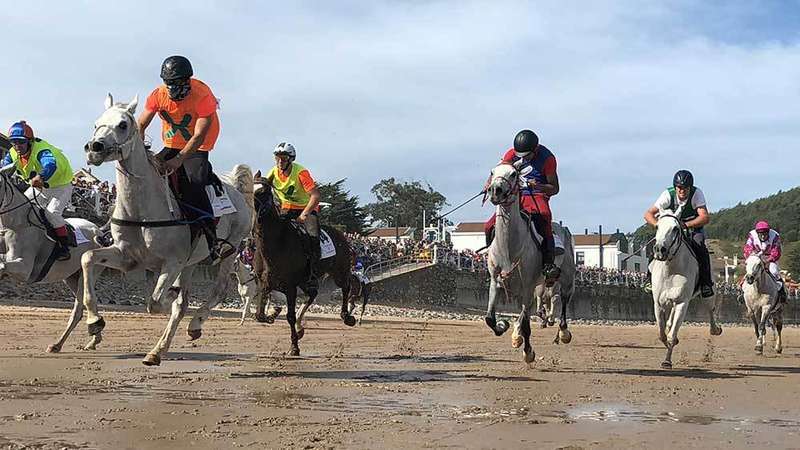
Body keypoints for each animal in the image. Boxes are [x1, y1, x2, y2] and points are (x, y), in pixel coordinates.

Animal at [0, 164, 105, 352]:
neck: (14, 224)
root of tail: (99, 232)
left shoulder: (25, 269)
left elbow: (3, 265)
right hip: (70, 277)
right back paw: (93, 339)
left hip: (87, 275)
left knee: (79, 310)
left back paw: (59, 344)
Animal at [82, 93, 255, 366]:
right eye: (96, 123)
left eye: (122, 124)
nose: (94, 148)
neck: (142, 210)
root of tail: (235, 187)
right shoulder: (127, 257)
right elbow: (87, 257)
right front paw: (94, 321)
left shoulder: (172, 263)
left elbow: (155, 303)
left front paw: (169, 295)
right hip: (190, 263)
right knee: (183, 304)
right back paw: (157, 351)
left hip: (230, 251)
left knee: (217, 290)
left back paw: (195, 324)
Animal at [252, 180, 355, 356]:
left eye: (263, 192)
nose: (256, 215)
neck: (277, 241)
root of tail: (341, 234)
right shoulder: (265, 283)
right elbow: (259, 315)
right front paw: (273, 312)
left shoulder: (290, 287)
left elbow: (290, 316)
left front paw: (294, 347)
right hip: (305, 280)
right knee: (312, 294)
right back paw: (300, 328)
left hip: (339, 272)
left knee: (346, 286)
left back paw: (347, 317)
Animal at [484, 163, 543, 364]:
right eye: (492, 172)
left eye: (513, 174)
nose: (495, 190)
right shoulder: (495, 280)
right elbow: (489, 318)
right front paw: (502, 324)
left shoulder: (527, 285)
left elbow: (525, 322)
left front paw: (529, 352)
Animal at [650, 213, 723, 368]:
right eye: (657, 226)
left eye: (675, 229)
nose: (660, 250)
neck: (670, 269)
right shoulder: (658, 304)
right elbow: (661, 334)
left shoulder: (682, 303)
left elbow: (671, 335)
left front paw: (667, 361)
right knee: (669, 322)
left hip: (709, 295)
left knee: (711, 310)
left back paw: (715, 330)